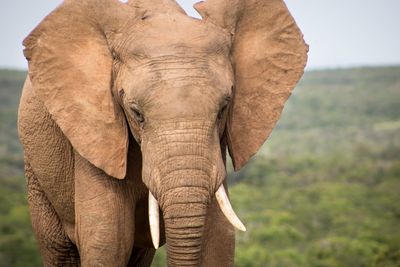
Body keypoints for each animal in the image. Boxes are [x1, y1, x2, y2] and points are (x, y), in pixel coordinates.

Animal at [17, 0, 308, 266]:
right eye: (136, 113)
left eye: (223, 108)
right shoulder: (94, 135)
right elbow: (107, 242)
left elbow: (218, 240)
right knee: (60, 250)